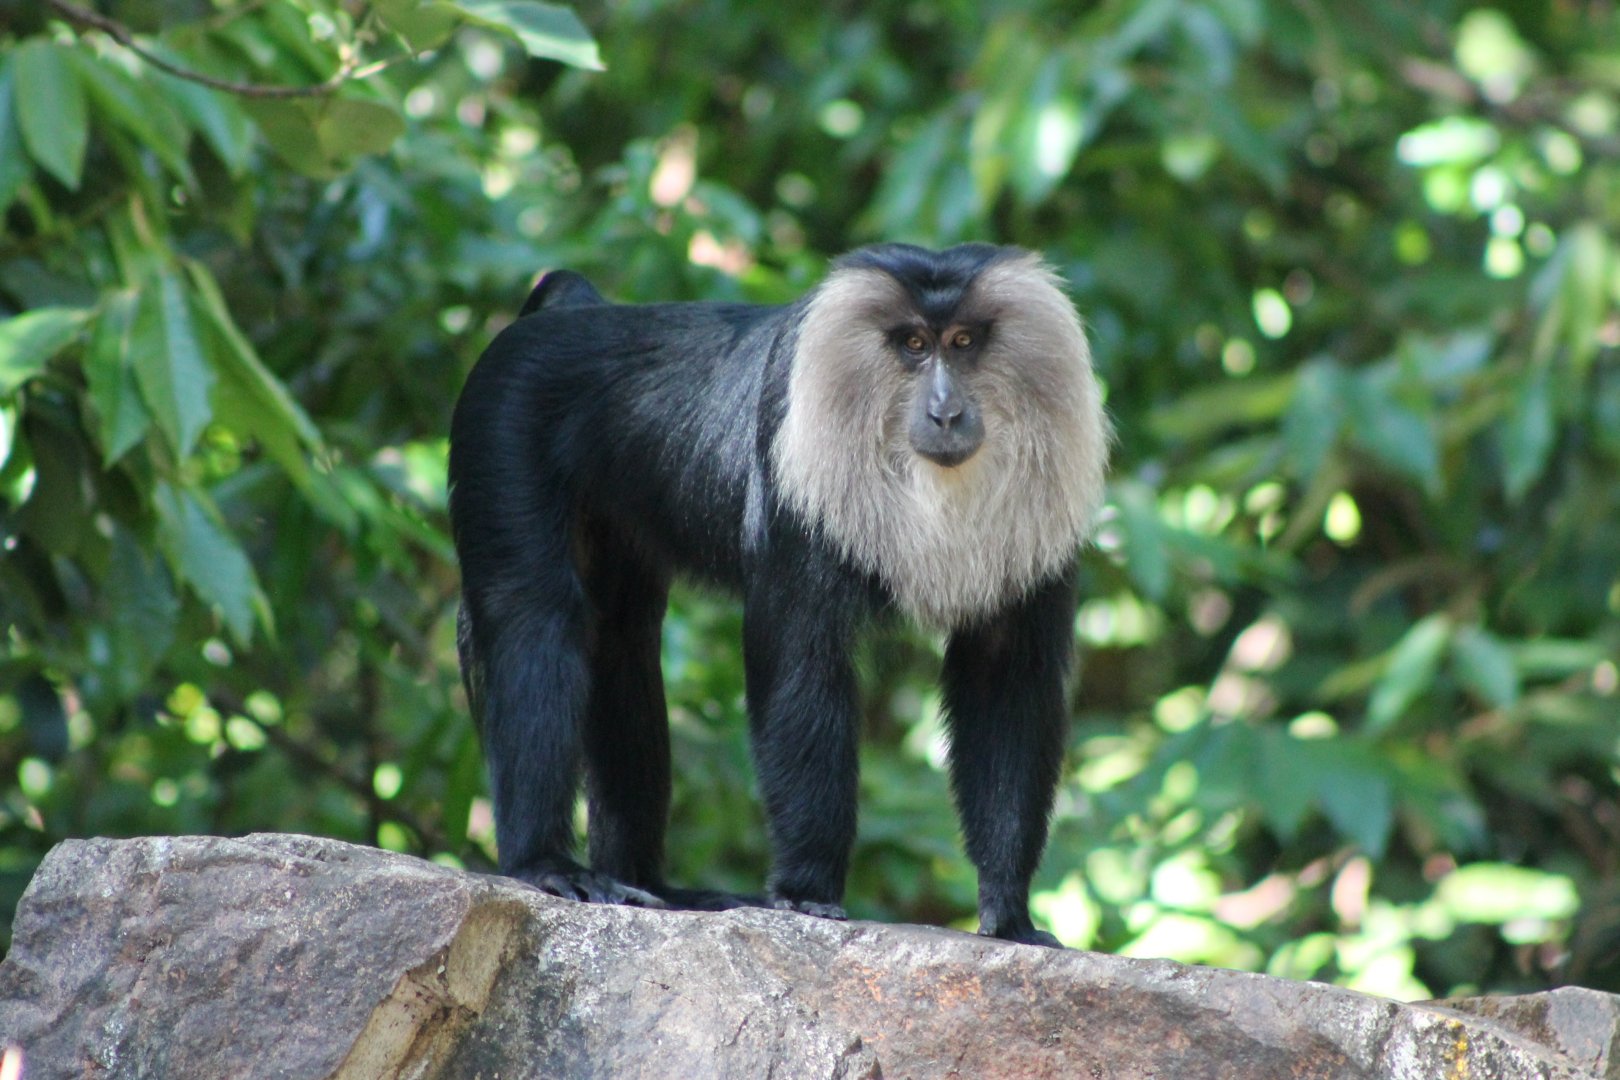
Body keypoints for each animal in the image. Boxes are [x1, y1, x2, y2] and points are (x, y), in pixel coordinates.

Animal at [448, 243, 1109, 946]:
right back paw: (544, 864)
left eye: (963, 342)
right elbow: (799, 663)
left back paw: (649, 886)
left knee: (620, 642)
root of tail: (573, 310)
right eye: (912, 344)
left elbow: (1005, 679)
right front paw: (806, 894)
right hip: (502, 417)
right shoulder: (795, 491)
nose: (947, 413)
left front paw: (1010, 915)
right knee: (534, 613)